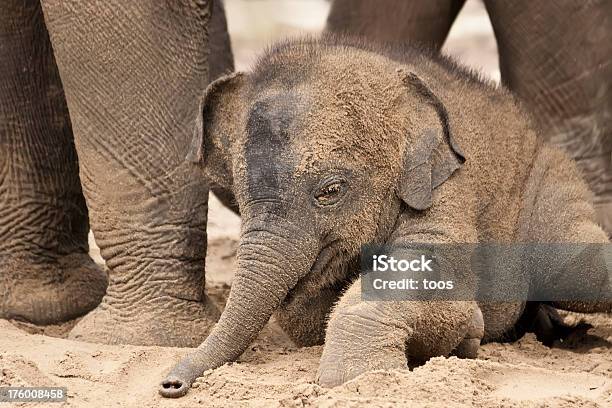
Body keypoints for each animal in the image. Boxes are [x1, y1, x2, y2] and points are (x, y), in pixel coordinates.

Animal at [160, 35, 608, 398]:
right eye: (240, 195)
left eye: (330, 191)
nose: (170, 384)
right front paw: (465, 331)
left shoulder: (443, 188)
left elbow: (423, 271)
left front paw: (362, 378)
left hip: (547, 185)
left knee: (578, 271)